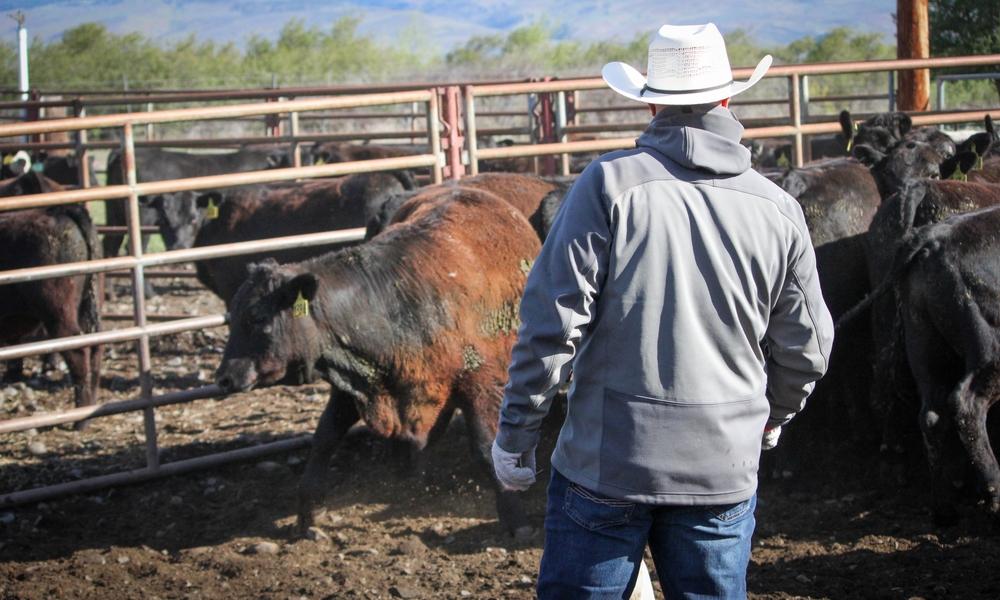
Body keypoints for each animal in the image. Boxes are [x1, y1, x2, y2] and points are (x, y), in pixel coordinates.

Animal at [0, 172, 102, 414]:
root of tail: (61, 210)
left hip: (58, 311)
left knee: (78, 351)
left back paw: (81, 415)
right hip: (88, 304)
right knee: (94, 349)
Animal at [215, 186, 543, 537]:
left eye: (257, 318)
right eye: (233, 317)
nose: (223, 378)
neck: (395, 306)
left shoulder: (480, 383)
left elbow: (486, 449)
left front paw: (515, 518)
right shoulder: (351, 384)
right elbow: (324, 439)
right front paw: (306, 516)